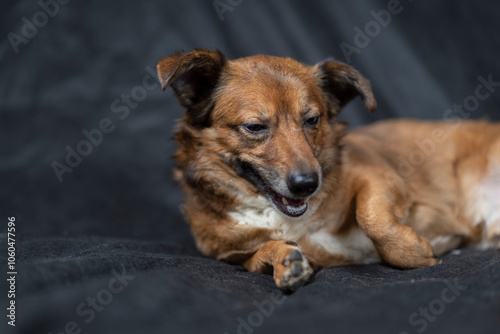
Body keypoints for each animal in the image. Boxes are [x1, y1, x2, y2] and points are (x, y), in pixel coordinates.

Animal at [157, 49, 500, 290]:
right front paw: (286, 261)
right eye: (254, 127)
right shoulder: (232, 257)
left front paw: (411, 252)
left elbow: (372, 216)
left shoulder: (378, 177)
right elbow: (261, 252)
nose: (308, 184)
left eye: (312, 120)